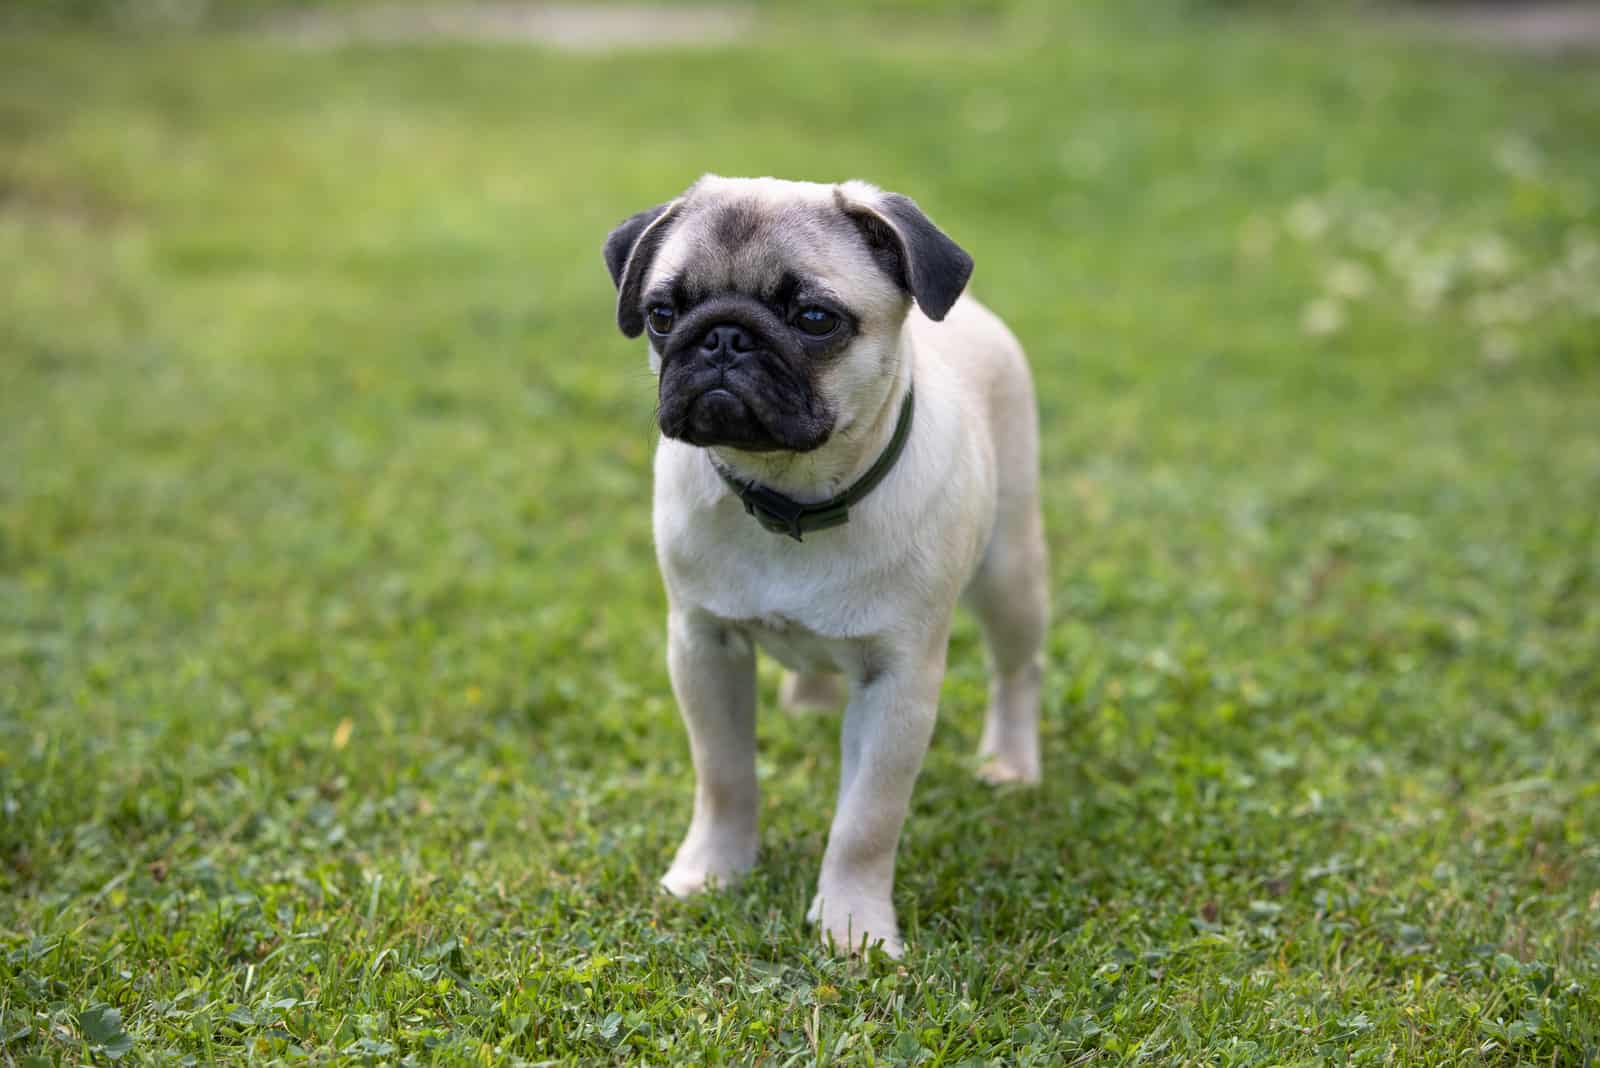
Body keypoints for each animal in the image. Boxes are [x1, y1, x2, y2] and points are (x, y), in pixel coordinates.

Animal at [601, 175, 1049, 959]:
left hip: (1010, 573)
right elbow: (723, 776)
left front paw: (854, 928)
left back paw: (1011, 765)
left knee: (1017, 670)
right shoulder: (703, 647)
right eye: (662, 314)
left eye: (814, 319)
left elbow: (865, 822)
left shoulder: (898, 684)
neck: (791, 497)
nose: (724, 336)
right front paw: (710, 873)